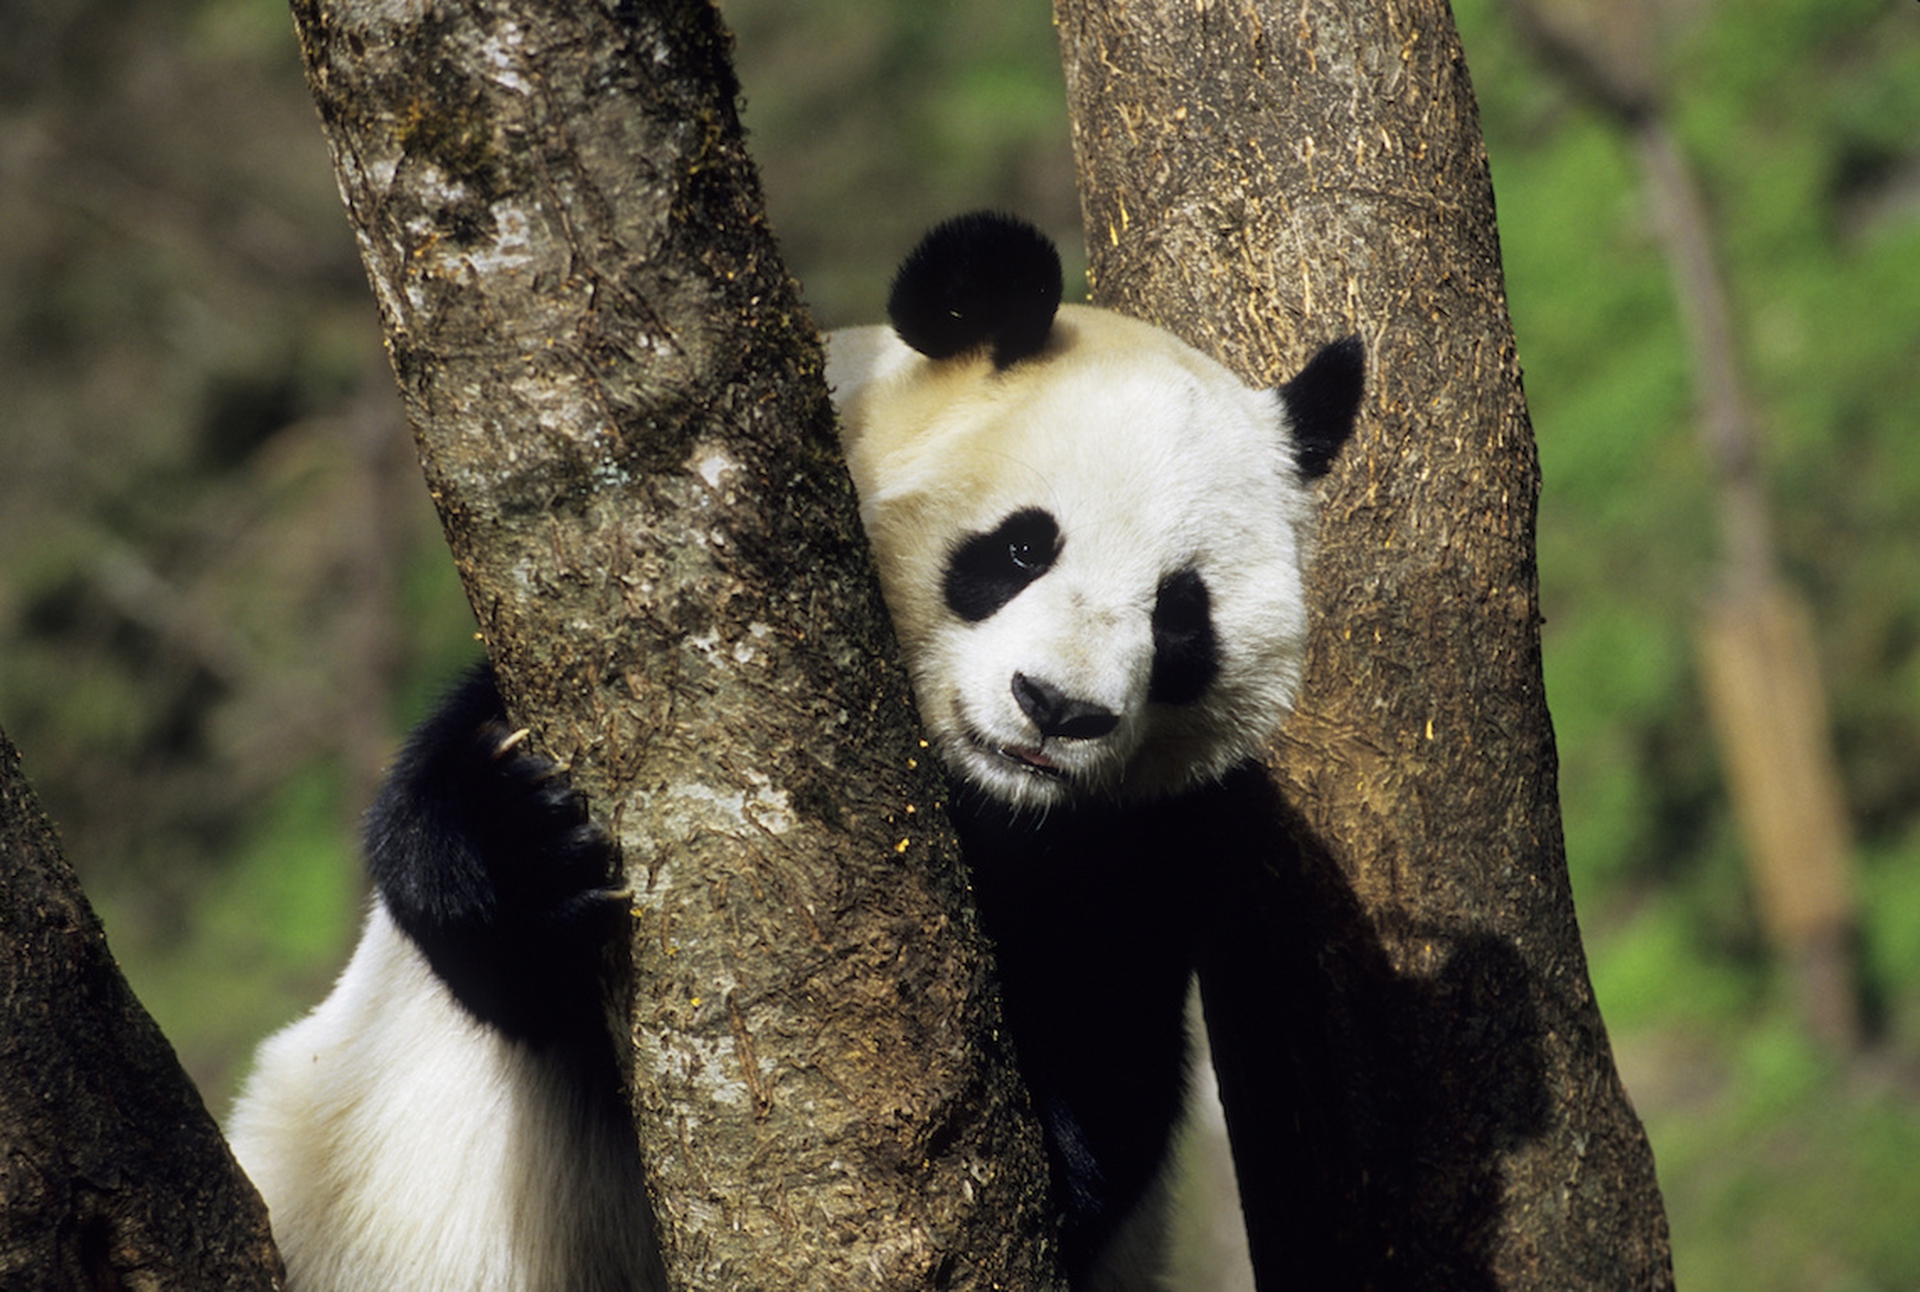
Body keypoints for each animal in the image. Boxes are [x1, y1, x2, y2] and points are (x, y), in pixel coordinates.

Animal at [229, 211, 1364, 1291]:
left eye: (1180, 615)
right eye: (1019, 547)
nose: (1056, 708)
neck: (982, 802)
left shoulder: (1145, 843)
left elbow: (1116, 1027)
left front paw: (1058, 1153)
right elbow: (480, 902)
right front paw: (526, 846)